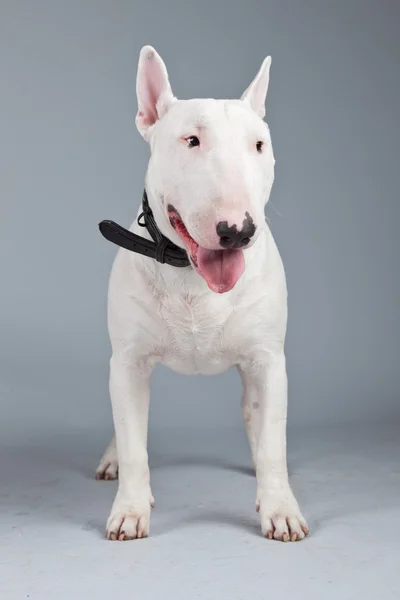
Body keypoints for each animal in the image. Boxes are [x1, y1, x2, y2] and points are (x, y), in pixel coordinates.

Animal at [95, 47, 308, 544]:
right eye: (191, 140)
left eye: (259, 146)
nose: (237, 231)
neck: (192, 277)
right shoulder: (128, 363)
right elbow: (134, 445)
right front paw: (130, 511)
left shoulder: (269, 363)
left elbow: (273, 444)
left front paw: (280, 509)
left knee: (257, 422)